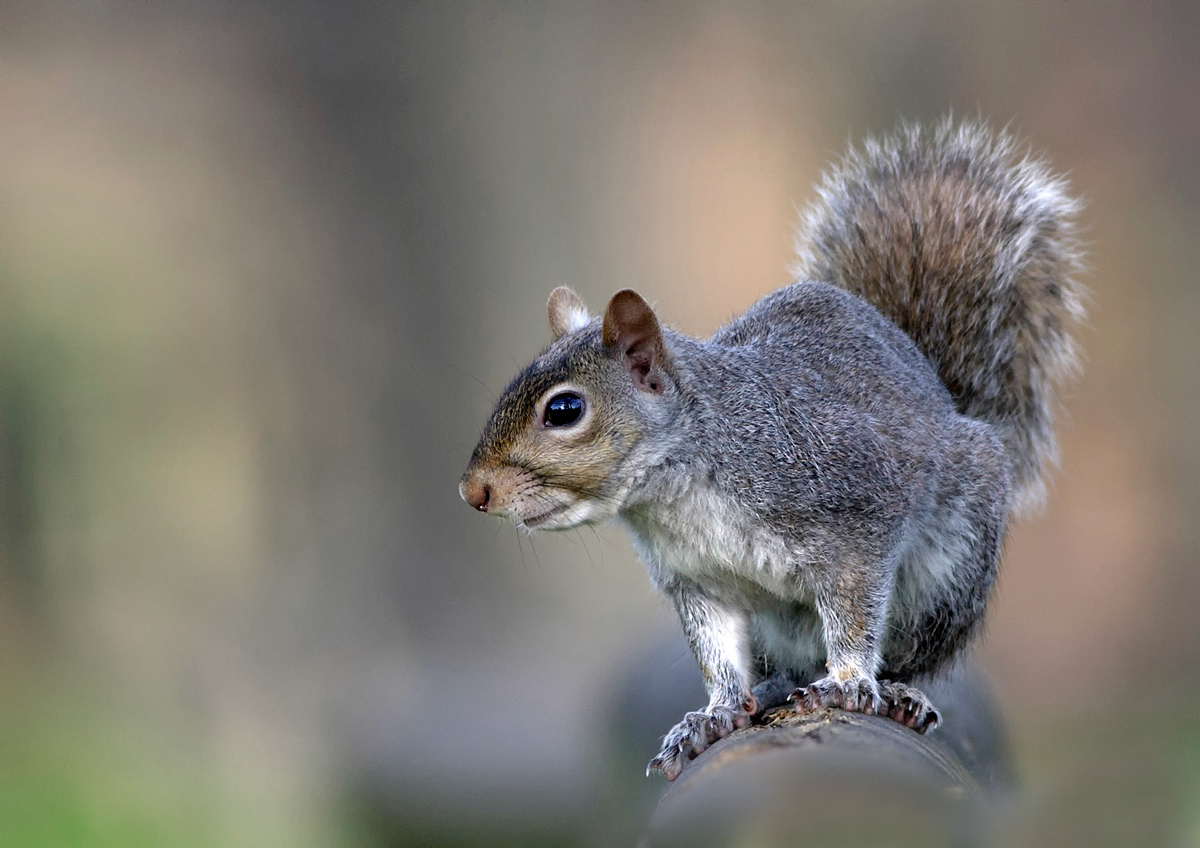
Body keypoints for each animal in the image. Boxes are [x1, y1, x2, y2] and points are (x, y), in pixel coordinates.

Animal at [459, 119, 1084, 781]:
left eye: (564, 410)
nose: (473, 491)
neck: (678, 491)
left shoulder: (855, 518)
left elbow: (854, 618)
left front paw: (847, 680)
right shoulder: (697, 582)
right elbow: (717, 656)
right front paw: (712, 716)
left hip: (950, 575)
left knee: (906, 654)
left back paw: (897, 693)